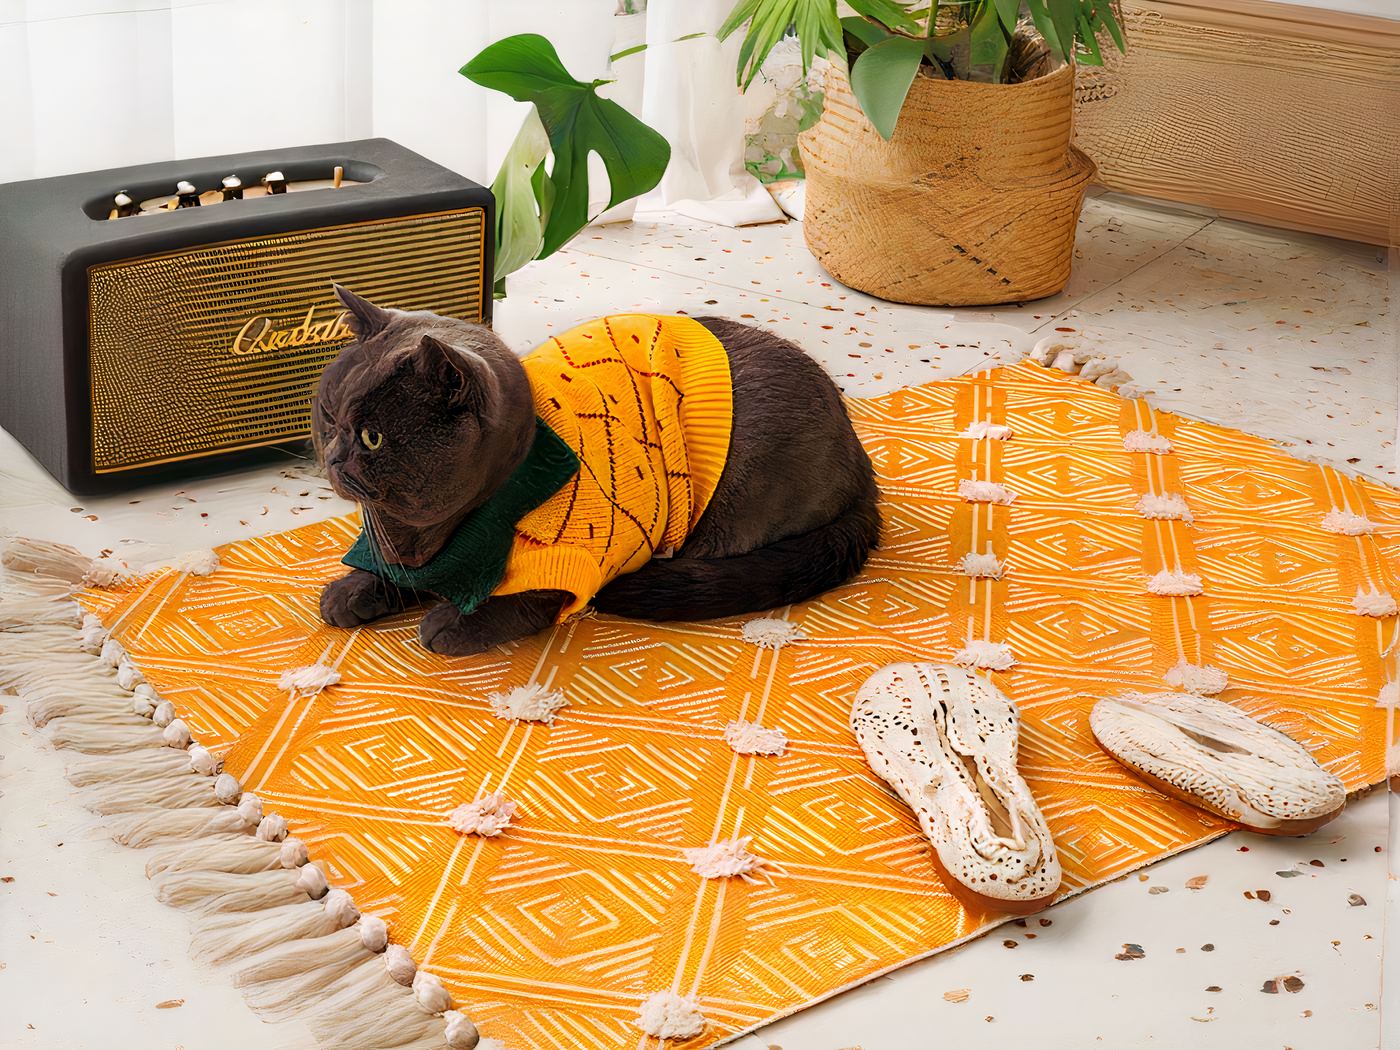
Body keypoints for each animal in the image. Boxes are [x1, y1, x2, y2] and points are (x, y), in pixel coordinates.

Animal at [314, 285, 879, 656]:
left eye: (372, 436)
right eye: (327, 413)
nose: (334, 453)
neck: (426, 534)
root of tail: (862, 466)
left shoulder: (586, 560)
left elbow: (524, 602)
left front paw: (452, 623)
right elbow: (390, 573)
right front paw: (353, 592)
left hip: (734, 502)